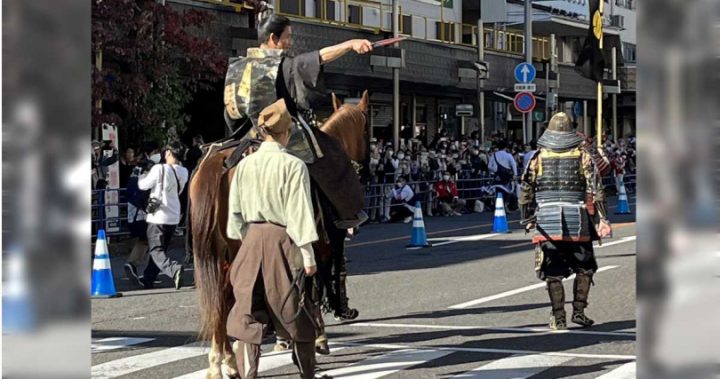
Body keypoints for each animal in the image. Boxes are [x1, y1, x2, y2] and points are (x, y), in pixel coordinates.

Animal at [188, 90, 368, 378]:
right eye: (366, 129)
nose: (364, 169)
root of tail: (219, 164)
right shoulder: (321, 244)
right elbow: (315, 288)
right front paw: (317, 339)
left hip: (218, 252)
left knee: (220, 300)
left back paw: (222, 361)